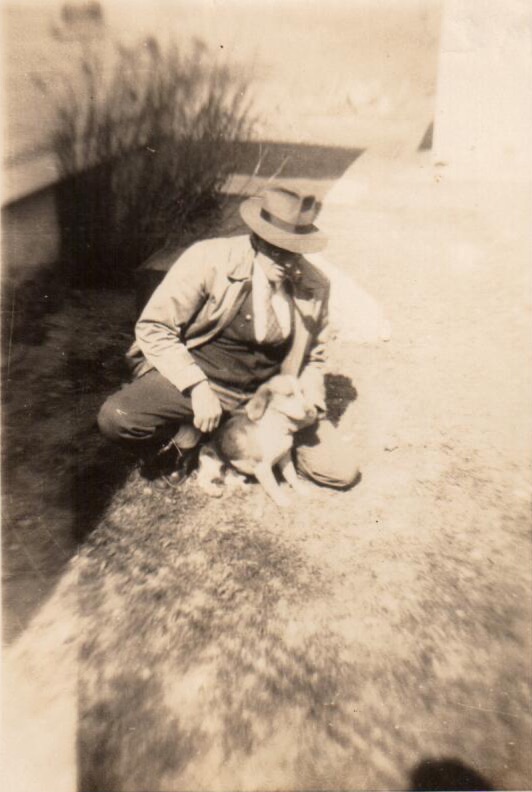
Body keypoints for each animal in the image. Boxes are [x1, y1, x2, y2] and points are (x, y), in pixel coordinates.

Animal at [196, 375, 319, 507]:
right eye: (289, 395)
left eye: (302, 392)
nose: (312, 411)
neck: (277, 427)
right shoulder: (262, 468)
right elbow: (273, 487)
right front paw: (283, 500)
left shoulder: (285, 457)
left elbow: (292, 476)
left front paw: (301, 489)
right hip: (212, 464)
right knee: (201, 479)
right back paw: (212, 489)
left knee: (228, 479)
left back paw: (242, 486)